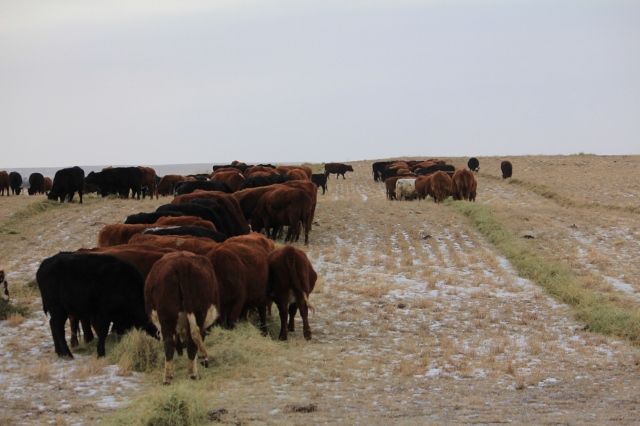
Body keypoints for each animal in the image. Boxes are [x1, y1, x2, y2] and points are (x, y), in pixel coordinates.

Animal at [145, 251, 219, 384]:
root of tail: (182, 264)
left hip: (167, 316)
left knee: (170, 342)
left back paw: (168, 378)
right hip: (198, 313)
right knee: (191, 341)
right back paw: (193, 373)